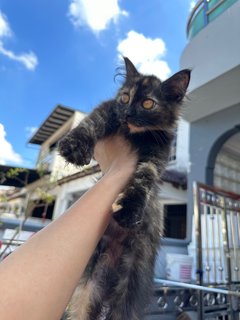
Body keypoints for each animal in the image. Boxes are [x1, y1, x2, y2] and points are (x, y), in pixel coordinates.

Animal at [58, 58, 189, 320]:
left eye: (147, 103)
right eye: (125, 97)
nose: (127, 114)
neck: (135, 136)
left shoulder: (156, 157)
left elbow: (144, 179)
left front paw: (129, 210)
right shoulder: (109, 110)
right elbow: (91, 123)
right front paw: (74, 147)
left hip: (130, 285)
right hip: (87, 290)